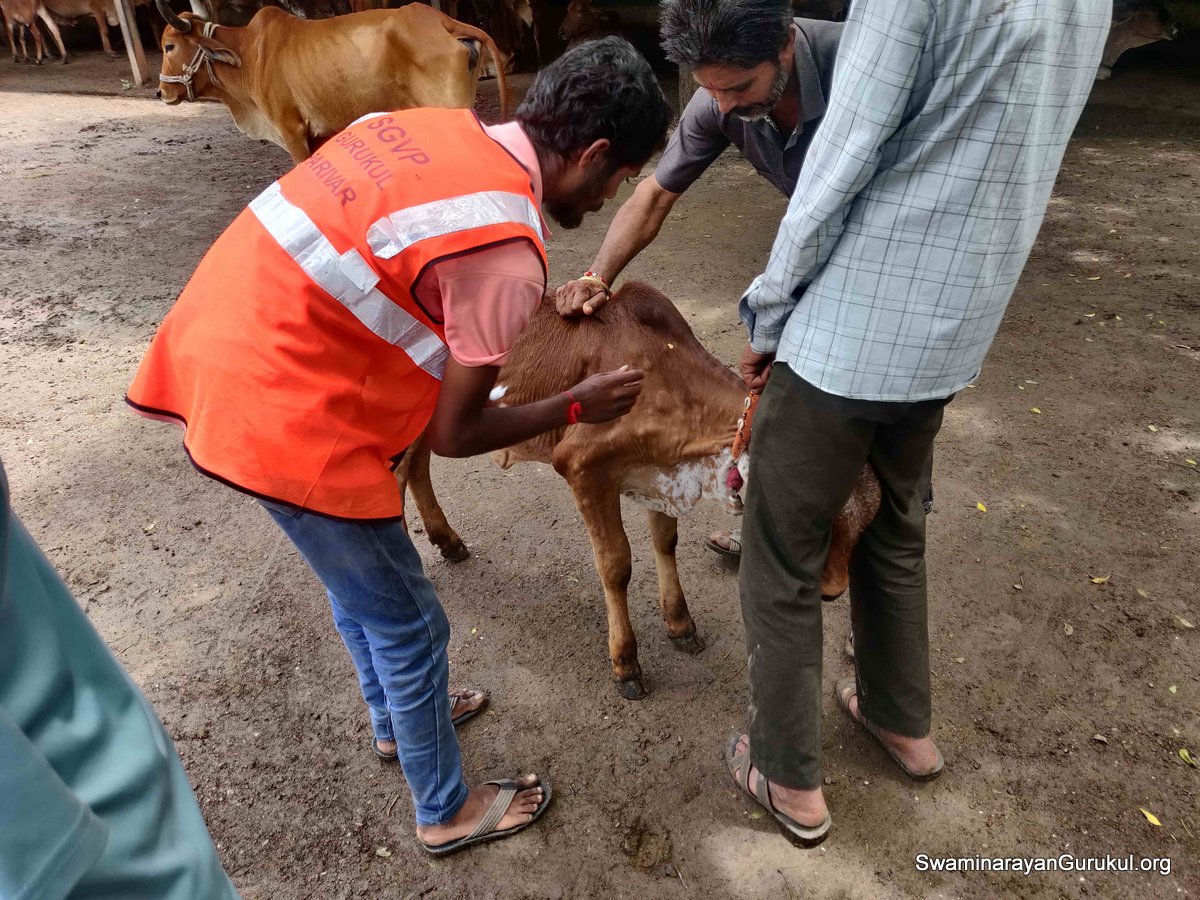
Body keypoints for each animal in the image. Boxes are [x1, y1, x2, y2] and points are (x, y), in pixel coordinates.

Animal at [397, 283, 881, 700]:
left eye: (867, 522)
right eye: (812, 515)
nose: (833, 590)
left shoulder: (661, 474)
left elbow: (665, 542)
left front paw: (681, 624)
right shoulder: (583, 468)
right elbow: (616, 565)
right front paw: (626, 664)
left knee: (416, 466)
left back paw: (446, 540)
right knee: (402, 469)